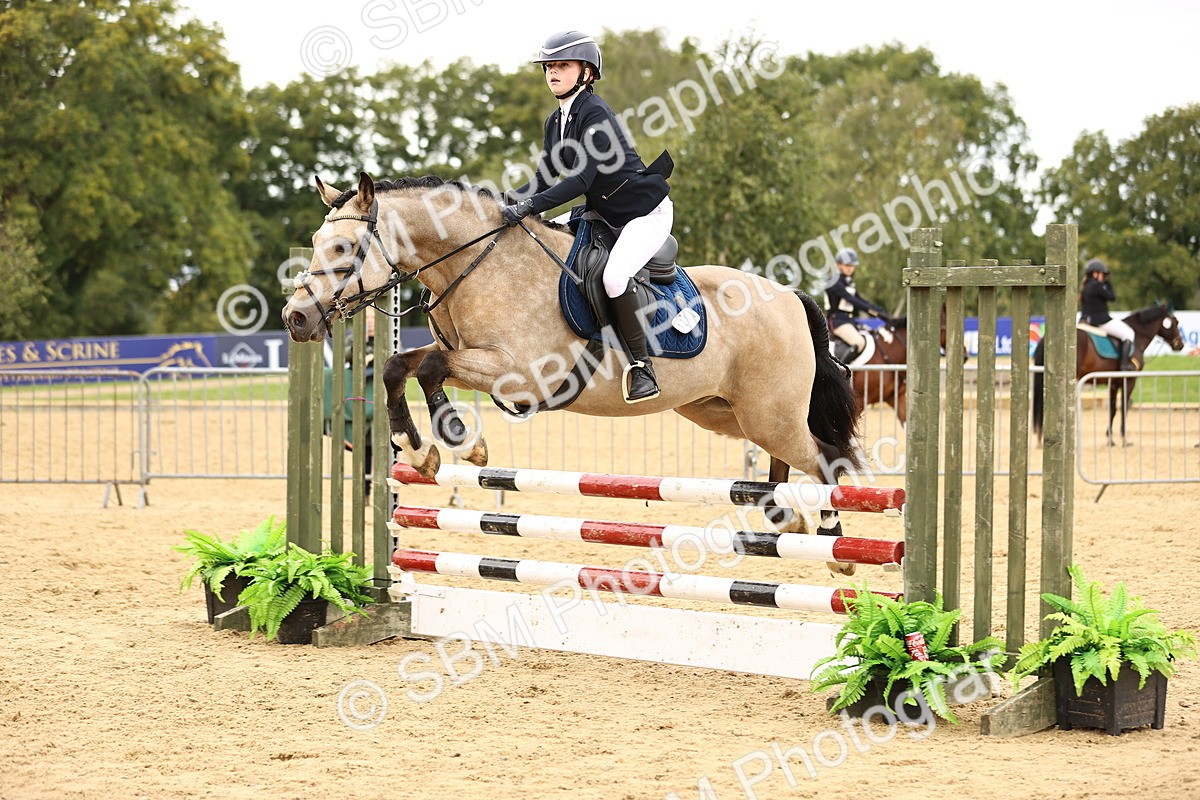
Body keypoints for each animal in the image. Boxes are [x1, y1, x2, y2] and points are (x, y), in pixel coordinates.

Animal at [282, 173, 866, 573]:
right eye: (314, 244)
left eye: (343, 248)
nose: (296, 317)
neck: (477, 264)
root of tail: (788, 295)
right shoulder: (476, 362)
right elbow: (397, 367)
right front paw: (419, 448)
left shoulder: (518, 372)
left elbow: (428, 367)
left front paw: (459, 440)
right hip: (724, 412)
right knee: (783, 463)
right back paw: (785, 521)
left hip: (769, 414)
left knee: (826, 458)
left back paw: (835, 542)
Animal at [1032, 304, 1185, 446]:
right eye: (1175, 322)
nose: (1180, 345)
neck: (1137, 337)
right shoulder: (1129, 381)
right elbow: (1123, 407)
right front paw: (1124, 439)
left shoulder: (1113, 383)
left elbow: (1112, 409)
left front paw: (1110, 439)